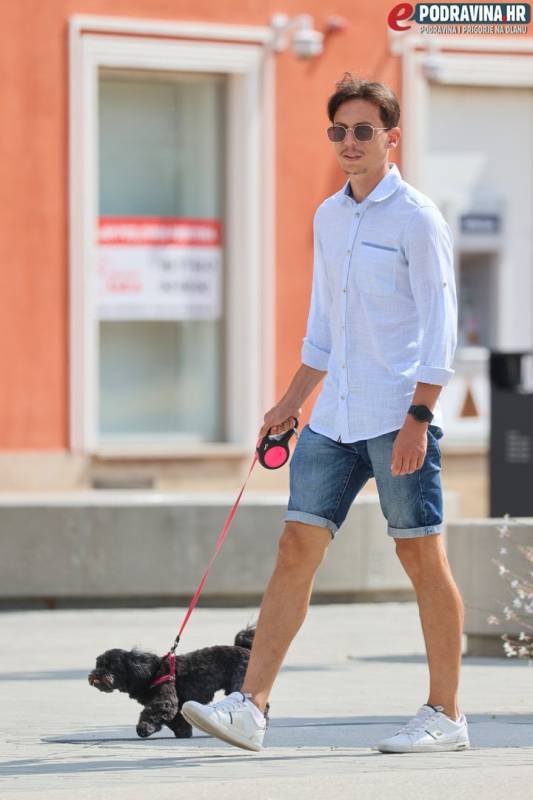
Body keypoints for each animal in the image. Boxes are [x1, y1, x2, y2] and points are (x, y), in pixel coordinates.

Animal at [88, 624, 269, 738]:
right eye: (98, 664)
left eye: (111, 667)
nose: (95, 675)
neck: (149, 672)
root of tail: (246, 649)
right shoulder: (173, 703)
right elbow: (175, 719)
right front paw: (184, 732)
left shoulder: (164, 700)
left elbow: (152, 713)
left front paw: (143, 729)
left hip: (240, 680)